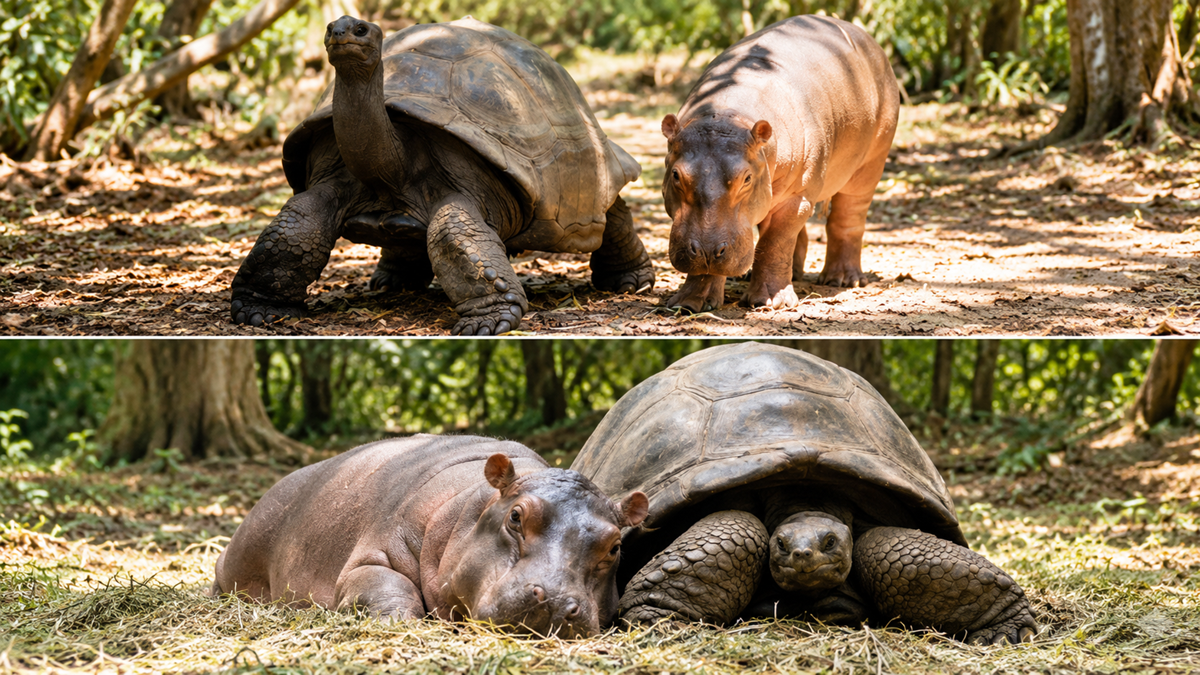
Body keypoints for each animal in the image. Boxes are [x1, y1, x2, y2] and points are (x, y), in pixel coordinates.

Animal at [211, 435, 648, 637]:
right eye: (516, 517)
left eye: (615, 545)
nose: (556, 602)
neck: (471, 508)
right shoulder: (375, 553)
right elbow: (385, 584)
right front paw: (399, 624)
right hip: (241, 552)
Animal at [662, 15, 900, 312]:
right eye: (676, 175)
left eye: (746, 178)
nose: (705, 250)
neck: (727, 115)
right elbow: (719, 262)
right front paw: (689, 303)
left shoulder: (797, 196)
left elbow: (777, 242)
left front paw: (771, 304)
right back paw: (790, 274)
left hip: (871, 159)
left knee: (849, 213)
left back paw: (842, 279)